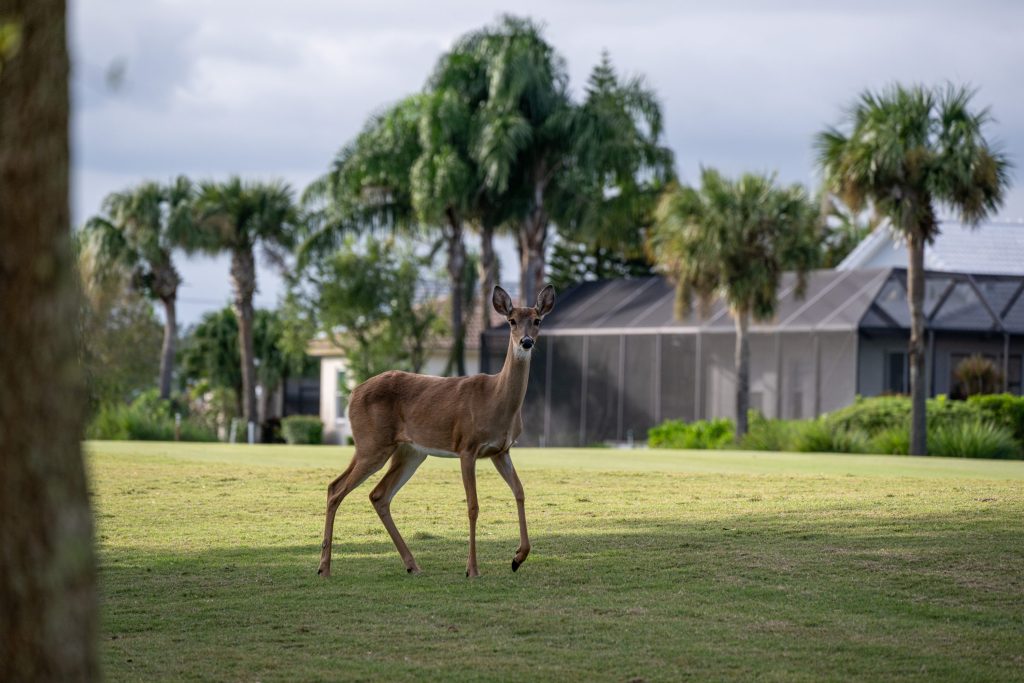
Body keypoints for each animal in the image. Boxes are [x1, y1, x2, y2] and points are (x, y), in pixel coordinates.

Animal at [317, 284, 556, 578]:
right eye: (511, 321)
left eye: (537, 320)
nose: (526, 342)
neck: (495, 398)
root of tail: (353, 393)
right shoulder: (467, 446)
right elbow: (473, 506)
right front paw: (472, 569)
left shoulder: (501, 450)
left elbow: (520, 491)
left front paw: (518, 558)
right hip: (372, 444)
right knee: (336, 489)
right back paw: (324, 568)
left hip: (408, 452)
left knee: (377, 495)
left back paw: (412, 565)